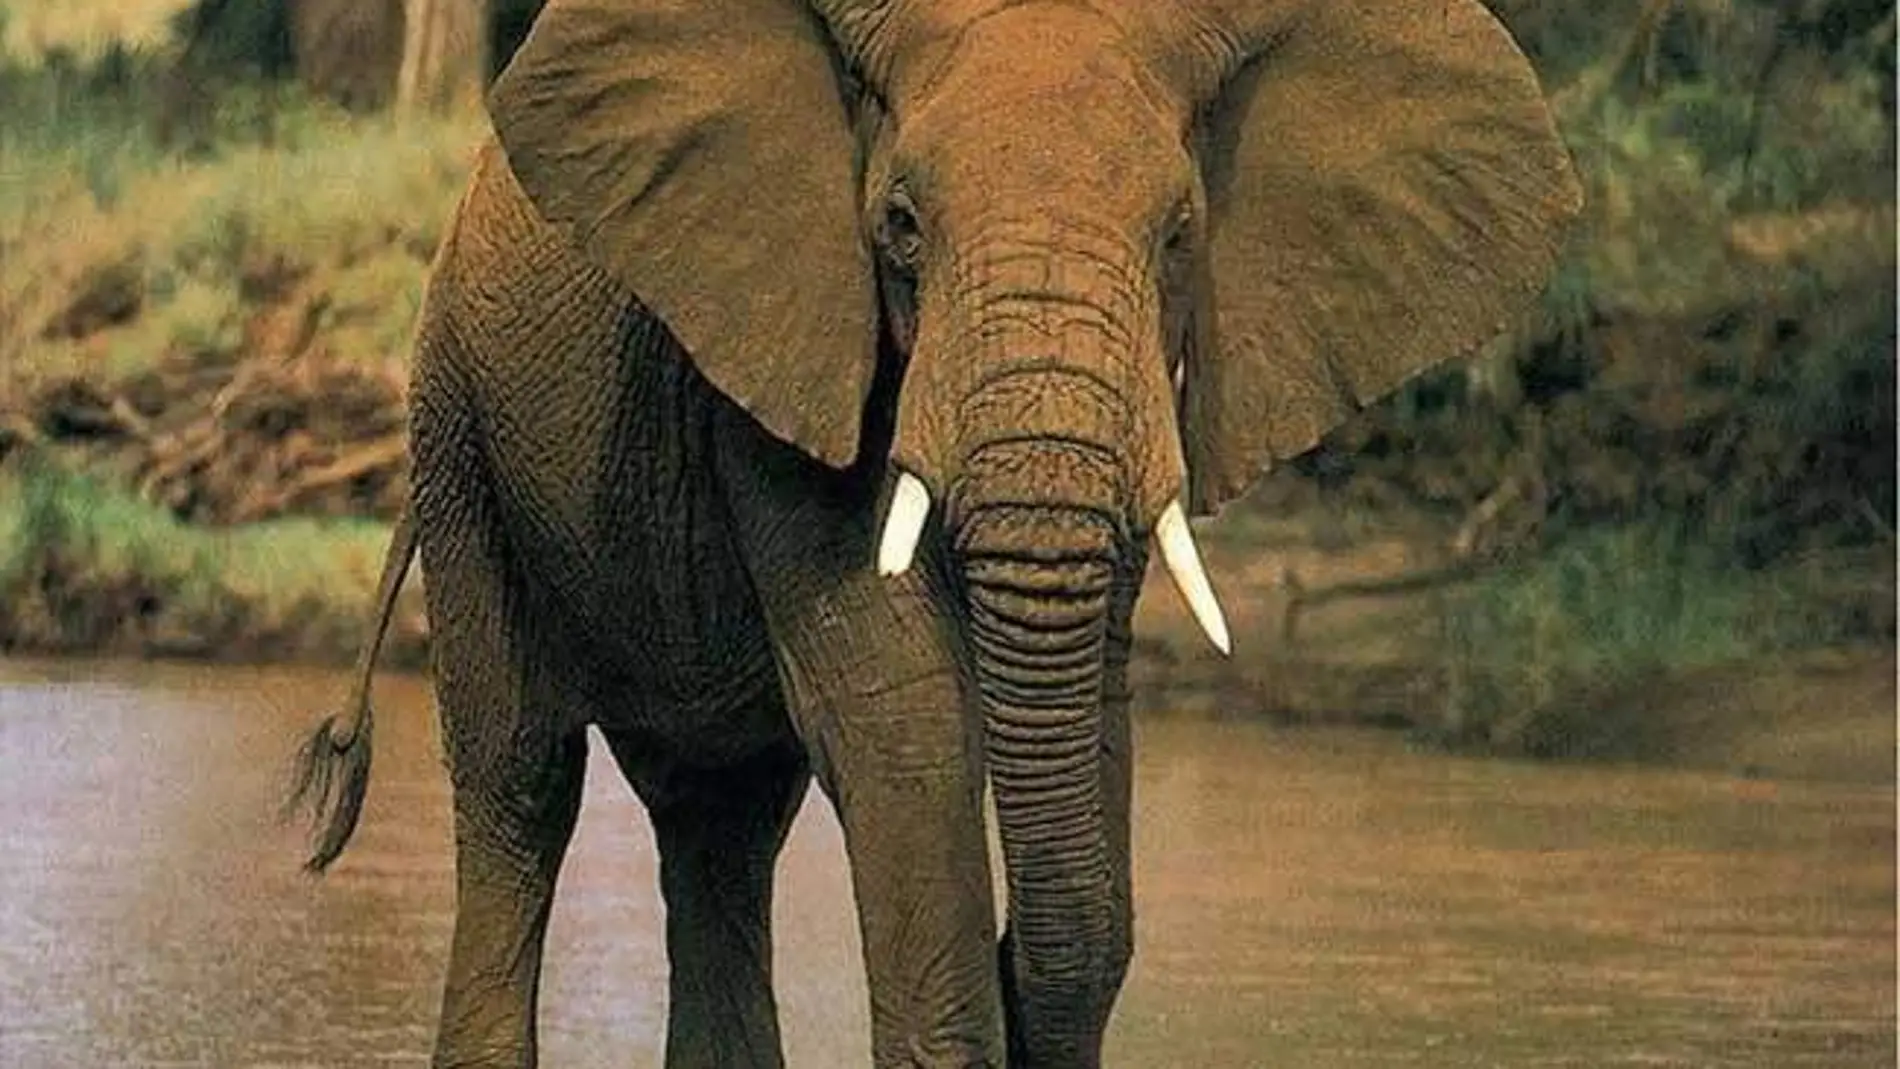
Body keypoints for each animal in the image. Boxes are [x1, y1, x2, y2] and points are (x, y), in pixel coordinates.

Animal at [287, 0, 1581, 1065]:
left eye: (1179, 234)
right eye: (900, 225)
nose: (1015, 969)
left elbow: (1089, 711)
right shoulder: (788, 326)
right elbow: (901, 721)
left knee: (720, 824)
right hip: (457, 428)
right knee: (522, 783)